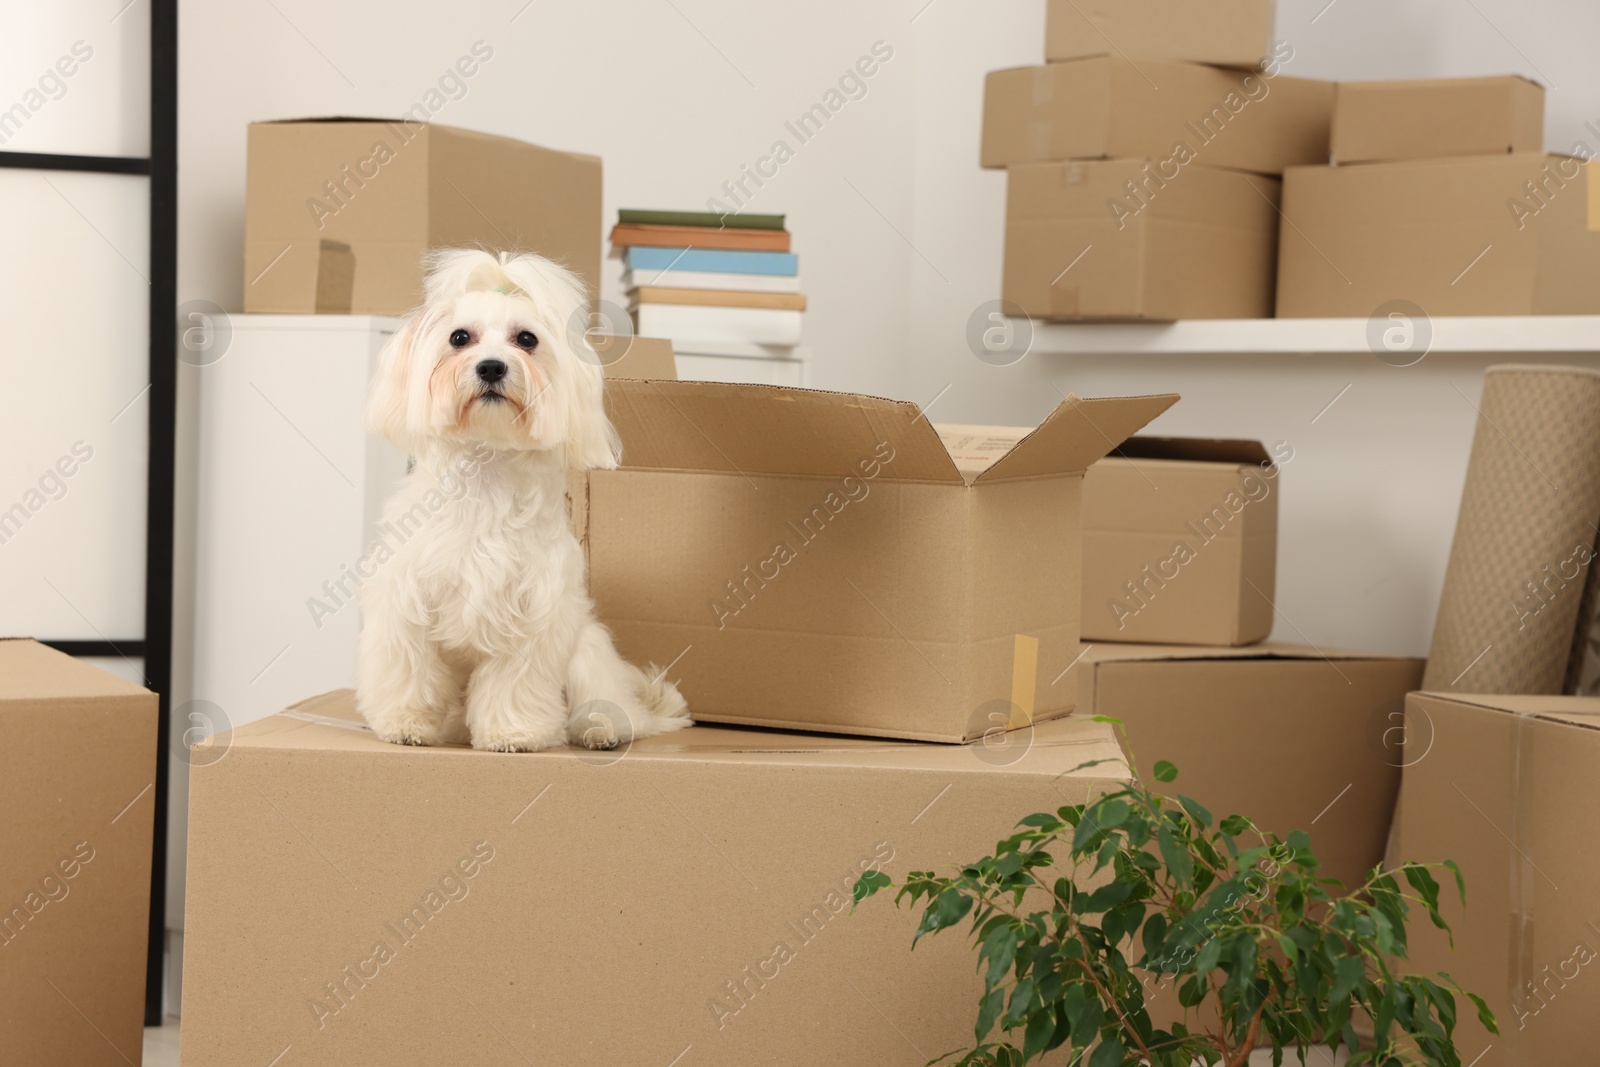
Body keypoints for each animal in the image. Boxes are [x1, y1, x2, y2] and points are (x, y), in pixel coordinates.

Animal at [356, 249, 688, 751]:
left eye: (526, 339)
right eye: (459, 338)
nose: (492, 366)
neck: (486, 476)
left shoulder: (533, 618)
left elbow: (513, 683)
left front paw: (513, 732)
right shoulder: (406, 605)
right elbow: (411, 670)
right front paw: (405, 723)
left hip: (588, 652)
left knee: (607, 704)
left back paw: (602, 729)